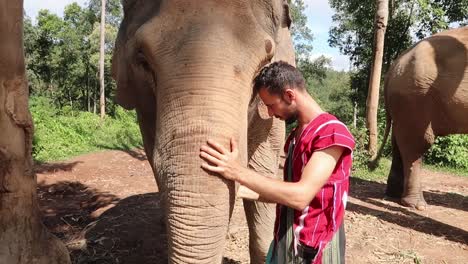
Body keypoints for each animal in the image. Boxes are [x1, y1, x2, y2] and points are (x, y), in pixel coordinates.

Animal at [378, 26, 466, 210]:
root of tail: (395, 63)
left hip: (406, 101)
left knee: (399, 141)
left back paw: (393, 195)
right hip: (416, 95)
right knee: (416, 144)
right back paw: (416, 205)